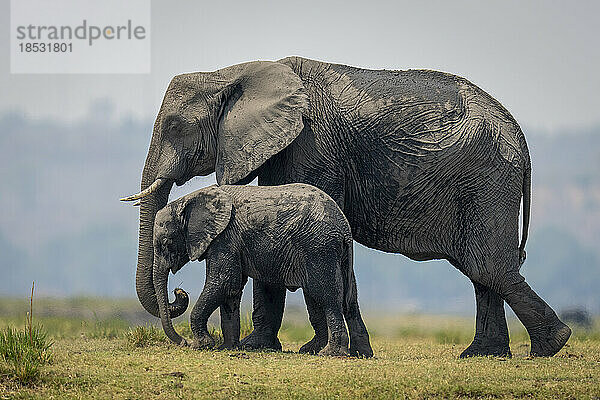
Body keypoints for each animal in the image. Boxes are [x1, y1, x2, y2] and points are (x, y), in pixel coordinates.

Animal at [152, 184, 372, 356]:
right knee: (348, 300)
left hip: (319, 248)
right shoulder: (231, 242)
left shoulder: (224, 239)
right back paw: (358, 353)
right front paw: (227, 348)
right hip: (336, 255)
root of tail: (344, 228)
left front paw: (202, 346)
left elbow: (224, 282)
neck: (190, 200)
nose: (179, 292)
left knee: (327, 297)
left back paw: (331, 353)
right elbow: (231, 289)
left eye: (166, 243)